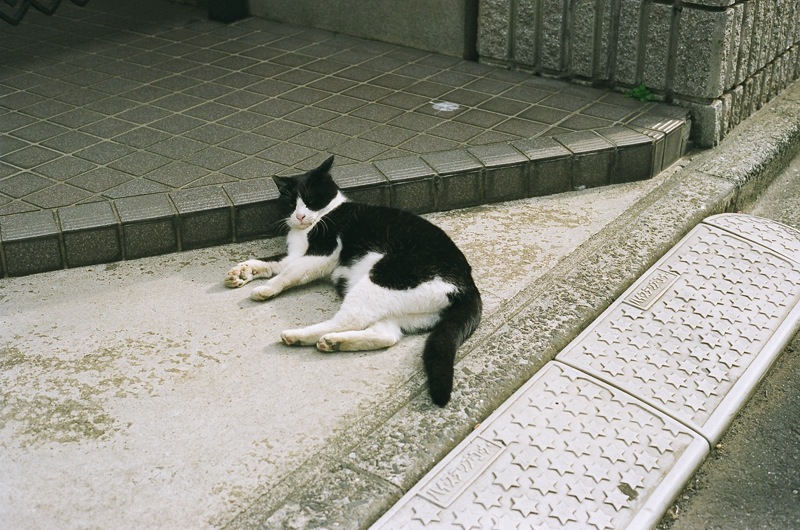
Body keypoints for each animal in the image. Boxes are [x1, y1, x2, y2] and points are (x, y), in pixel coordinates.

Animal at [224, 155, 482, 407]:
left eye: (310, 199)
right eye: (290, 204)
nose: (299, 215)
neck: (319, 219)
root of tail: (469, 287)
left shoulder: (322, 254)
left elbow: (289, 274)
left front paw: (266, 289)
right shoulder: (296, 254)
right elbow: (272, 263)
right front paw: (242, 272)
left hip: (381, 280)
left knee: (347, 320)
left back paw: (299, 336)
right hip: (398, 308)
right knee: (386, 336)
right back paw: (335, 343)